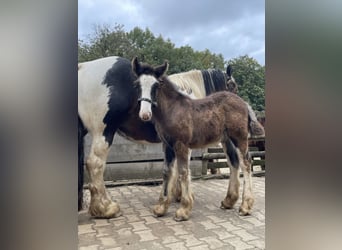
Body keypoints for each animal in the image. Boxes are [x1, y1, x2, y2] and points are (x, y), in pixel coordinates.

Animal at [132, 57, 264, 221]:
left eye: (156, 85)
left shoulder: (181, 145)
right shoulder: (167, 145)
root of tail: (243, 103)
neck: (173, 109)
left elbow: (183, 172)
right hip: (228, 140)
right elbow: (167, 171)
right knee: (235, 162)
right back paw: (228, 201)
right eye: (136, 85)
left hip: (239, 138)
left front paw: (183, 210)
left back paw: (245, 206)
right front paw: (161, 208)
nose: (145, 114)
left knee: (246, 164)